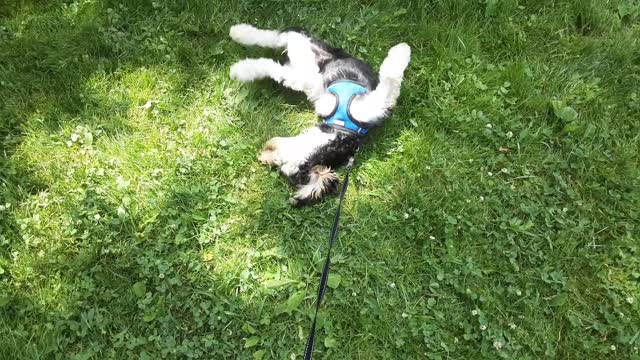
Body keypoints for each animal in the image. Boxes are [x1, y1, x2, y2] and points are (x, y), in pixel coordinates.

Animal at [230, 24, 410, 205]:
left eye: (280, 161)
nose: (264, 155)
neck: (339, 131)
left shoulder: (372, 104)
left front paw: (401, 50)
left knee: (280, 40)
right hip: (307, 42)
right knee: (277, 37)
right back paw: (239, 33)